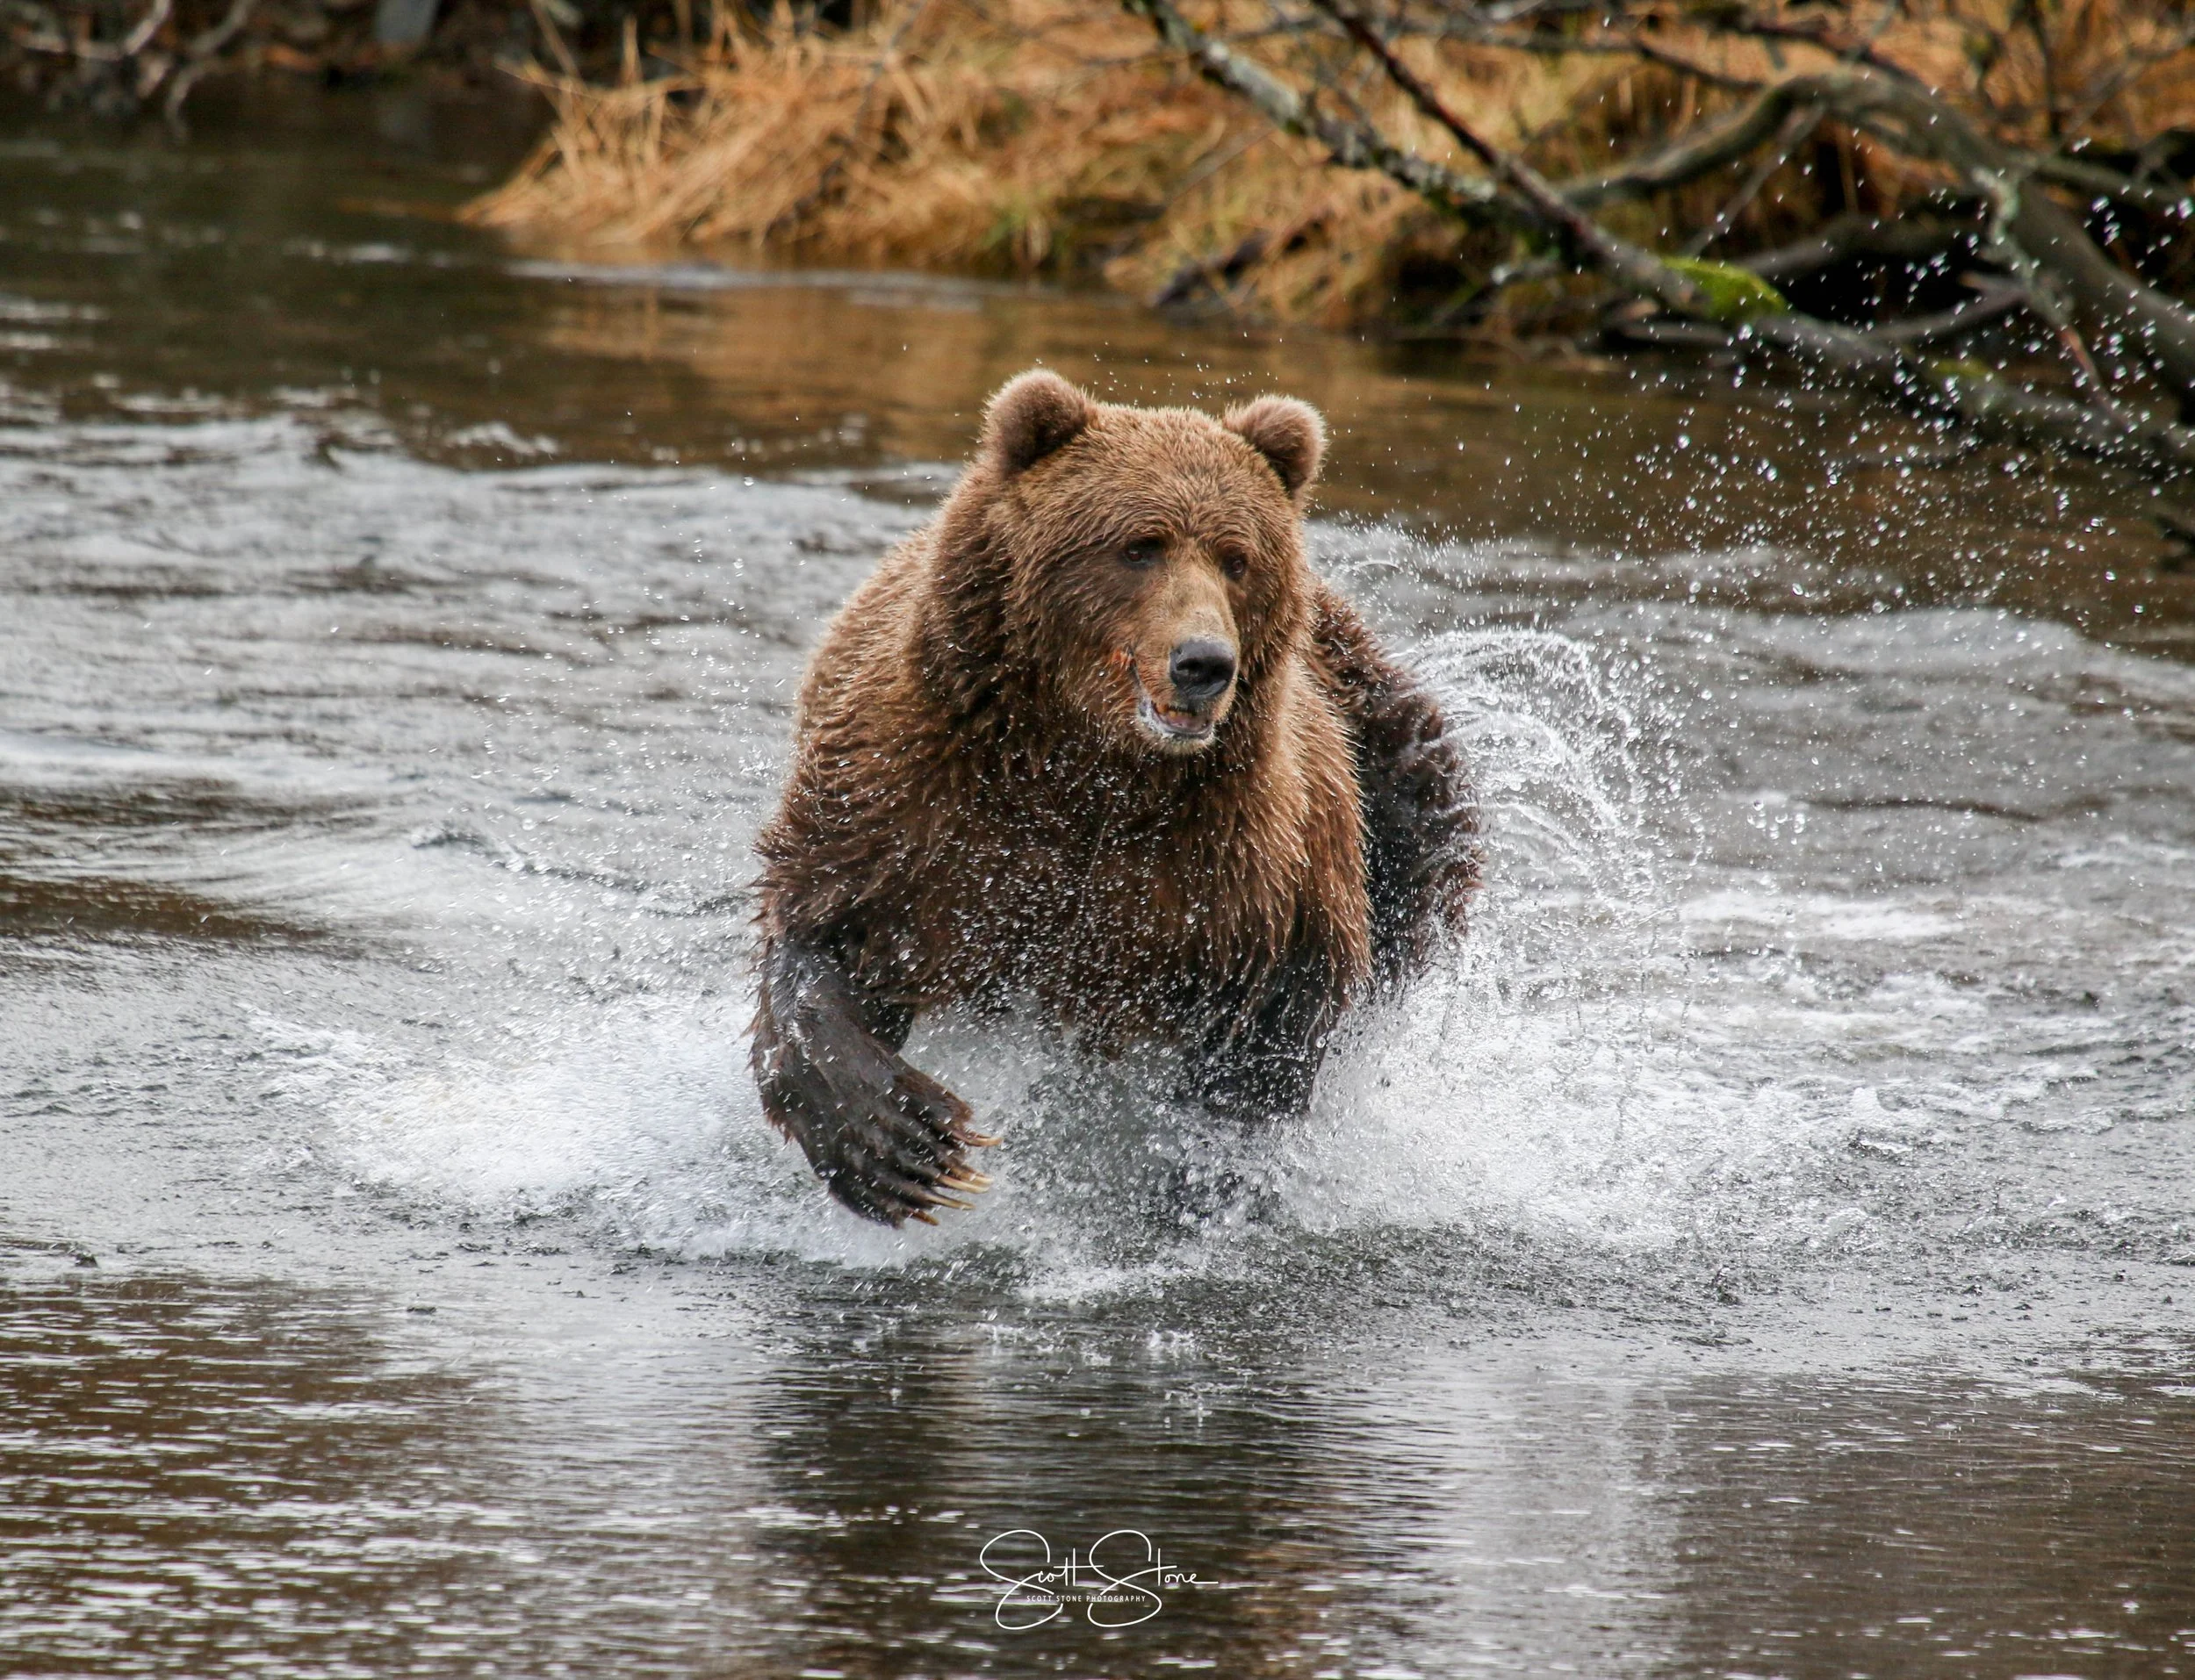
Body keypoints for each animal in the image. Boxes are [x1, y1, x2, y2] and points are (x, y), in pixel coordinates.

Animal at [751, 369, 1478, 1225]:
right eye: (1139, 545)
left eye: (1237, 558)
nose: (1205, 663)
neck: (1086, 766)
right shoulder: (909, 799)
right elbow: (823, 931)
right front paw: (901, 1143)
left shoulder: (1247, 859)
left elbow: (1274, 1021)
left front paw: (1195, 1173)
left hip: (1397, 786)